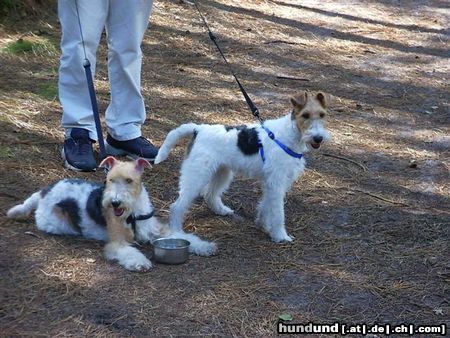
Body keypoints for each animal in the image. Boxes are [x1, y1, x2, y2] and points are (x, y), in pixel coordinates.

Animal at [6, 157, 218, 270]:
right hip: (54, 223)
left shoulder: (158, 230)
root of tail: (44, 191)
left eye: (129, 180)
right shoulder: (117, 242)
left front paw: (205, 247)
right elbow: (129, 251)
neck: (133, 213)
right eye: (109, 179)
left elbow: (184, 236)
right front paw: (140, 262)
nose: (115, 202)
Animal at [155, 90, 330, 243]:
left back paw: (222, 210)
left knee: (210, 194)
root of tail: (198, 129)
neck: (290, 134)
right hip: (196, 176)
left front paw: (263, 224)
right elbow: (278, 213)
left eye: (322, 115)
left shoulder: (276, 182)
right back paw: (177, 232)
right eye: (305, 115)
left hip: (222, 172)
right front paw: (280, 235)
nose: (318, 138)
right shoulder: (276, 181)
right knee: (177, 205)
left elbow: (266, 204)